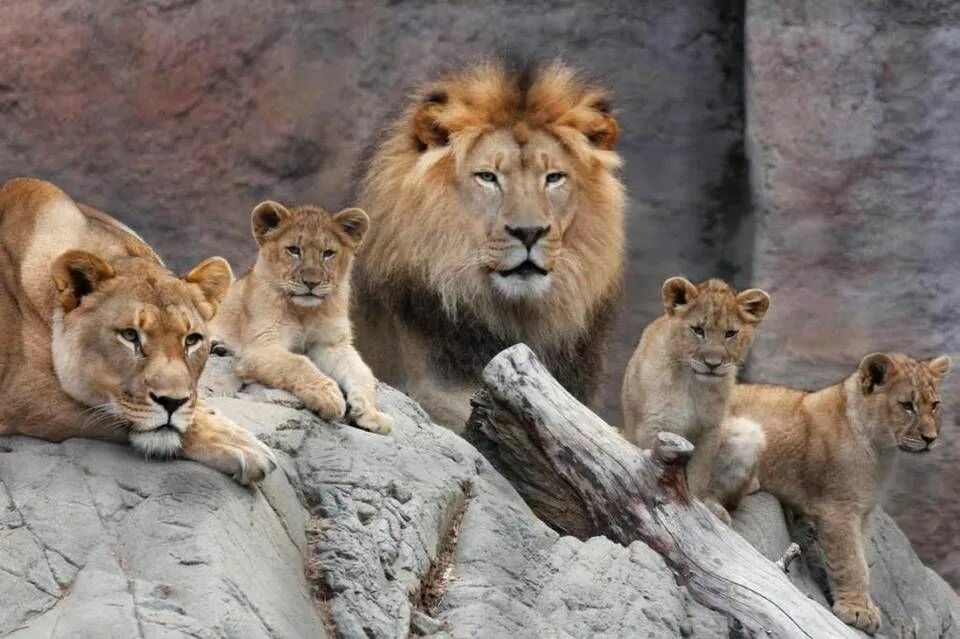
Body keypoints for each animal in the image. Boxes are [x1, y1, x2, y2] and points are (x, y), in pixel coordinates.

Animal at [209, 201, 390, 436]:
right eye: (294, 250)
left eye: (328, 253)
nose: (311, 283)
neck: (306, 312)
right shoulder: (261, 347)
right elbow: (299, 363)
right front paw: (329, 397)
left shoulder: (332, 344)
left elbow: (362, 373)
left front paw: (372, 414)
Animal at [624, 276, 772, 516]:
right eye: (698, 330)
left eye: (730, 333)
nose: (713, 364)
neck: (693, 383)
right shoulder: (655, 426)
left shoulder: (710, 430)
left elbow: (698, 476)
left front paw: (695, 507)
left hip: (748, 432)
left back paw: (716, 509)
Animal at [716, 356, 948, 636]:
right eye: (906, 406)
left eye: (934, 405)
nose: (930, 438)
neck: (881, 451)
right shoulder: (838, 508)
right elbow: (851, 561)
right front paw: (857, 612)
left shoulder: (863, 512)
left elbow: (862, 559)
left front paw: (865, 606)